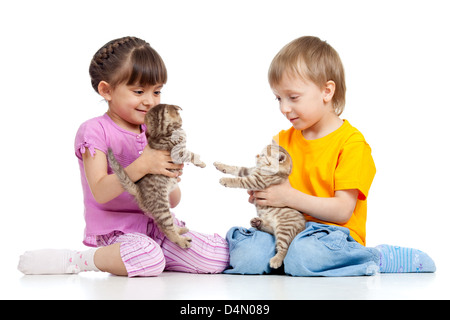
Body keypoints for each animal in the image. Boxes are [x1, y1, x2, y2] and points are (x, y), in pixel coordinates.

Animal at [108, 104, 207, 249]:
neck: (163, 131)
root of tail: (139, 192)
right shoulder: (179, 152)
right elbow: (191, 154)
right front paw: (201, 162)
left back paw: (180, 229)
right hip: (162, 208)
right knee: (167, 228)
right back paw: (181, 240)